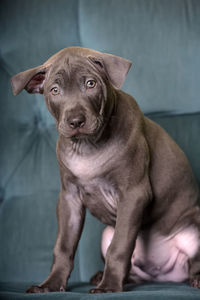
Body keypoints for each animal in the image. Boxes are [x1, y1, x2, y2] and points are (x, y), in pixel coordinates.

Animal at [10, 47, 200, 292]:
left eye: (90, 84)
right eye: (55, 90)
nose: (75, 121)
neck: (88, 146)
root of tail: (164, 276)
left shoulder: (133, 194)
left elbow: (119, 247)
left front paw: (109, 286)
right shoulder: (69, 199)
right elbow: (63, 246)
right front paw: (51, 284)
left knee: (193, 264)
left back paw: (195, 278)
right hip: (107, 233)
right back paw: (107, 276)